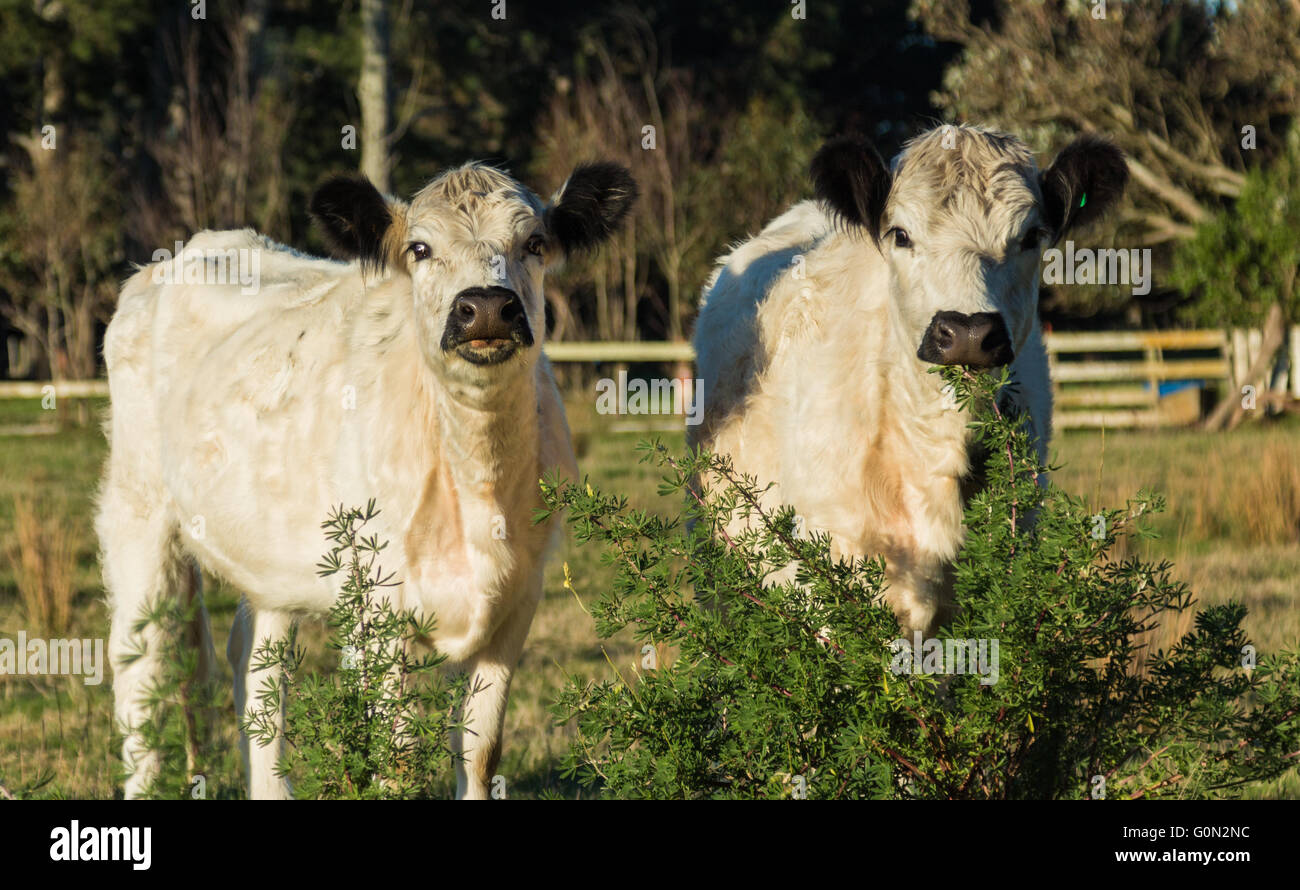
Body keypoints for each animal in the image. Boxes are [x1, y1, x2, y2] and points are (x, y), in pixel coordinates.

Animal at [97, 160, 637, 799]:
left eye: (533, 243)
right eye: (420, 248)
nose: (484, 307)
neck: (476, 477)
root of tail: (193, 249)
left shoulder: (517, 602)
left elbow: (481, 752)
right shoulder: (377, 608)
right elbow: (396, 762)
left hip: (268, 558)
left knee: (257, 666)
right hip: (138, 509)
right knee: (142, 662)